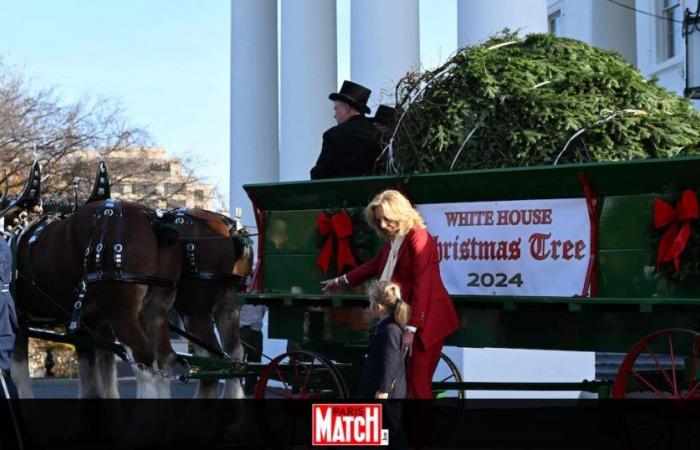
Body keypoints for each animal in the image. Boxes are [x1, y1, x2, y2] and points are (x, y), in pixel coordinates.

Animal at [2, 164, 182, 398]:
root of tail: (154, 221)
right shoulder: (88, 326)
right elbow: (96, 381)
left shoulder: (18, 322)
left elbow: (19, 376)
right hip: (155, 311)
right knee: (164, 357)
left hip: (122, 313)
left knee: (144, 360)